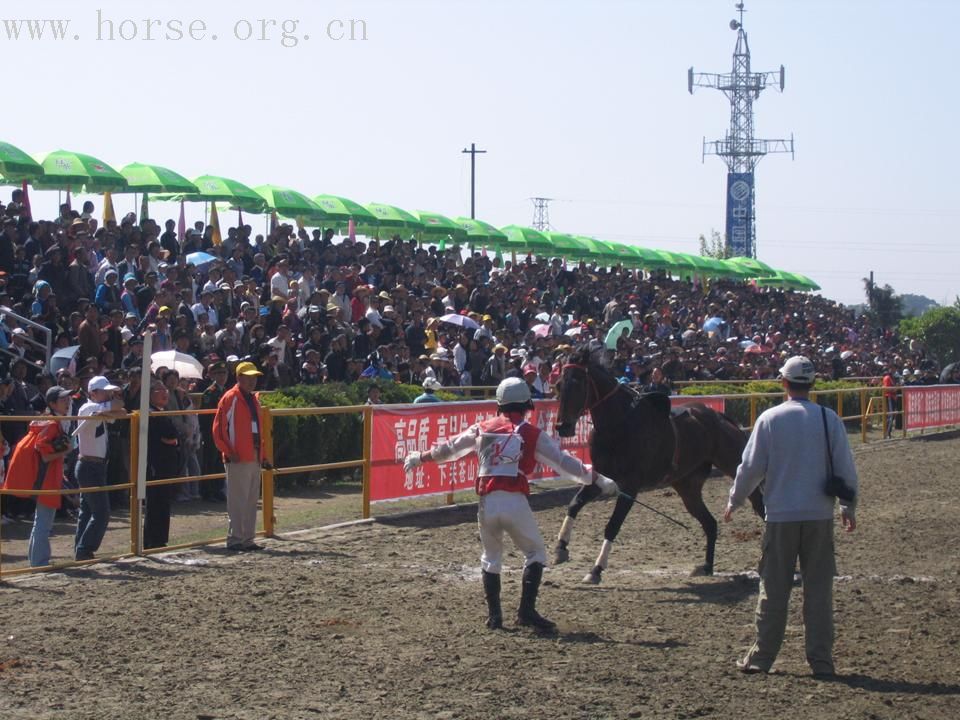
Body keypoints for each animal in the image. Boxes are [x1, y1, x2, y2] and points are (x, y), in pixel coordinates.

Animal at [552, 340, 760, 584]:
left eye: (578, 383)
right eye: (558, 384)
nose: (563, 426)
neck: (618, 425)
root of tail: (720, 418)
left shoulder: (630, 485)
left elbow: (612, 526)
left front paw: (596, 569)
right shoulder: (601, 477)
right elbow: (574, 504)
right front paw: (561, 548)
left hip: (736, 466)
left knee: (758, 501)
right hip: (687, 487)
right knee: (710, 523)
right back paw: (707, 566)